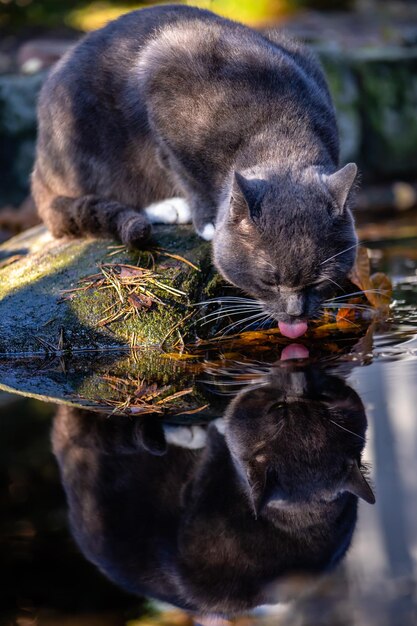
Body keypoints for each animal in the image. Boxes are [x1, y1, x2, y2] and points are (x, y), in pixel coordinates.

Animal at [33, 3, 358, 336]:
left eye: (319, 280)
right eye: (269, 280)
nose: (295, 314)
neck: (279, 129)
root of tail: (41, 166)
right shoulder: (164, 84)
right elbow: (184, 172)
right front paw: (208, 222)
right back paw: (169, 207)